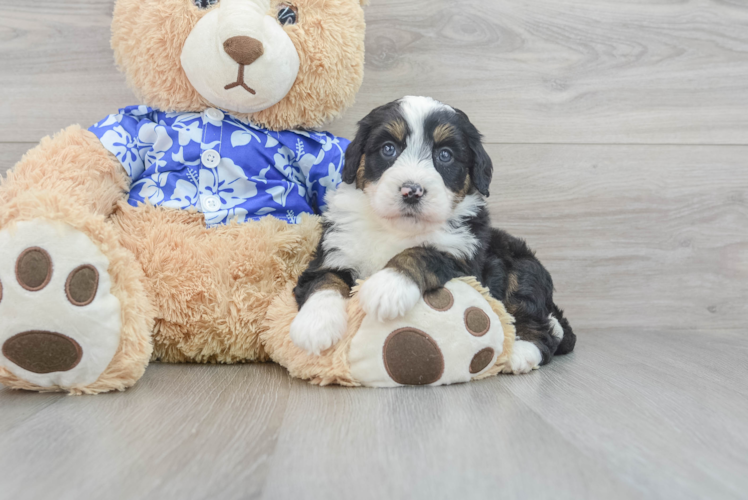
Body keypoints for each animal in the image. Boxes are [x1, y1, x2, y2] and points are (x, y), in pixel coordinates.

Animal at [290, 96, 576, 372]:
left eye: (445, 155)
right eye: (388, 149)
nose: (411, 191)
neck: (395, 228)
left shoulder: (465, 259)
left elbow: (423, 252)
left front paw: (387, 286)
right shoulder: (334, 249)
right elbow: (324, 280)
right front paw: (314, 325)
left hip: (523, 270)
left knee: (543, 328)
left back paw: (520, 353)